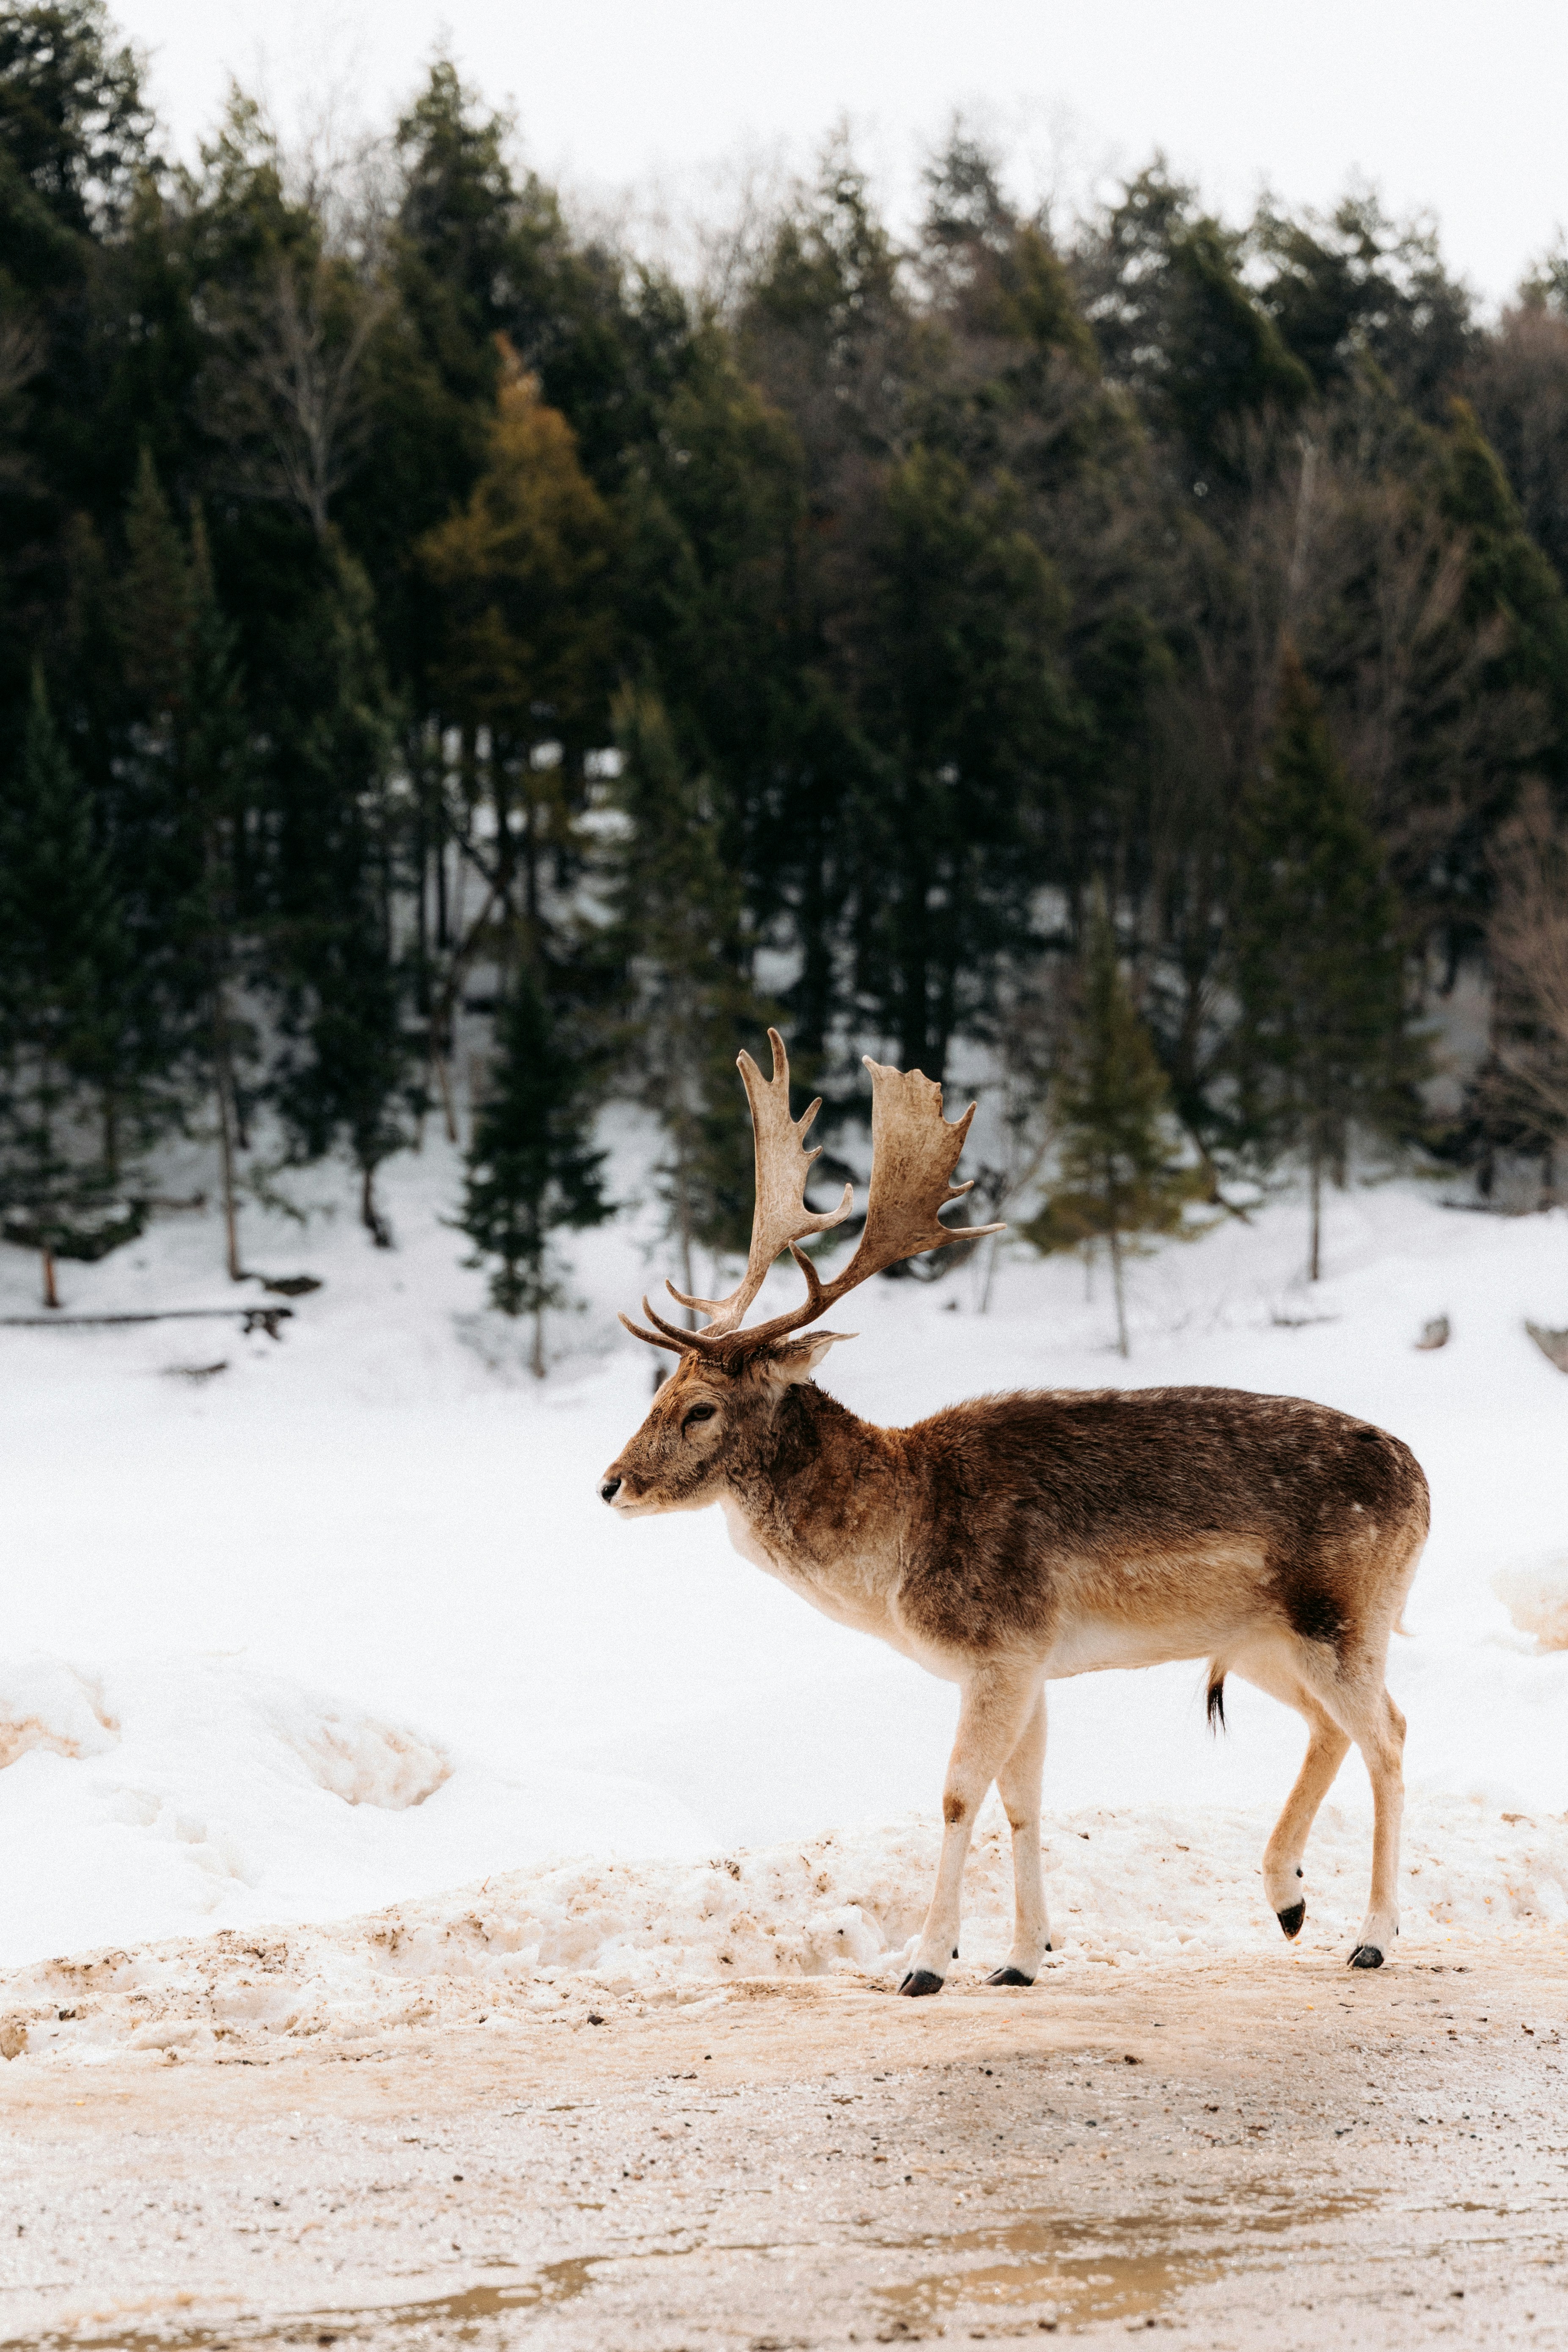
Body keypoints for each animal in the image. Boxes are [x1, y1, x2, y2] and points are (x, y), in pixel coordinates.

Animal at [598, 1033, 1429, 1994]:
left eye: (700, 1407)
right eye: (661, 1388)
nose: (610, 1483)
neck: (895, 1556)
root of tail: (1422, 1483)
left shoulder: (1000, 1646)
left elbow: (960, 1789)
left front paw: (927, 1961)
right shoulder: (1031, 1660)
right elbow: (1022, 1799)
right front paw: (1022, 1956)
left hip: (1343, 1614)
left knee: (1390, 1734)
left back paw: (1372, 1933)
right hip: (1263, 1639)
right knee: (1331, 1729)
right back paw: (1287, 1898)